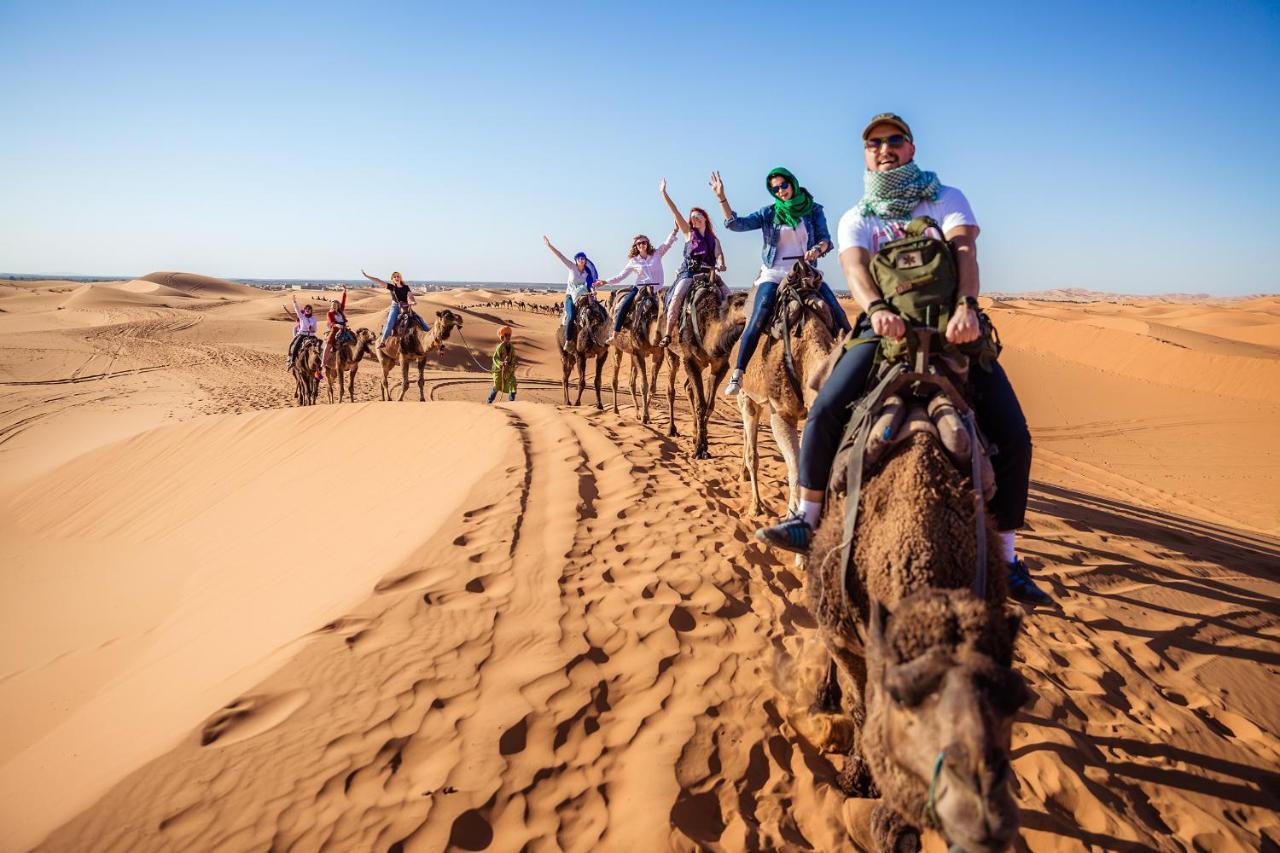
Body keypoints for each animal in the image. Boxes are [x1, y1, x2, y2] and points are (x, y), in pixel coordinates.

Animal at [611, 284, 670, 422]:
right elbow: (644, 385)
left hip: (631, 352)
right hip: (618, 347)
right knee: (615, 376)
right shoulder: (638, 352)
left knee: (631, 381)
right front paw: (644, 417)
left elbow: (652, 387)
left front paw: (646, 416)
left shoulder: (658, 354)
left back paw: (637, 412)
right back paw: (616, 410)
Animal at [665, 275, 747, 455]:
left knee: (688, 388)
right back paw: (672, 429)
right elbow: (701, 404)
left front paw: (704, 443)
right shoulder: (689, 359)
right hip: (671, 351)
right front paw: (699, 449)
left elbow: (709, 404)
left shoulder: (720, 365)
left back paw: (694, 433)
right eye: (738, 303)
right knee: (671, 389)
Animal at [737, 262, 844, 512]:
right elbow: (795, 470)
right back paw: (756, 505)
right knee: (752, 449)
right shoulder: (782, 412)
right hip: (746, 394)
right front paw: (792, 513)